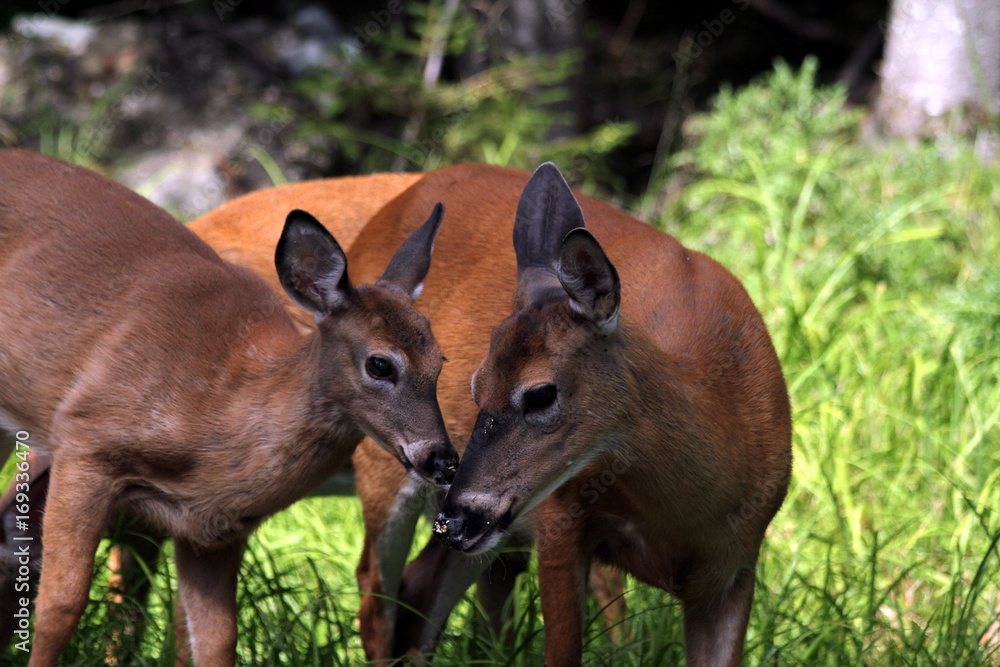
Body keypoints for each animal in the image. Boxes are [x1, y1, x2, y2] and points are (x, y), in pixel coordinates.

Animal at [0, 149, 457, 666]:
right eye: (380, 364)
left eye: (440, 361)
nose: (444, 459)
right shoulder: (84, 441)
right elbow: (60, 604)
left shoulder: (213, 532)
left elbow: (216, 642)